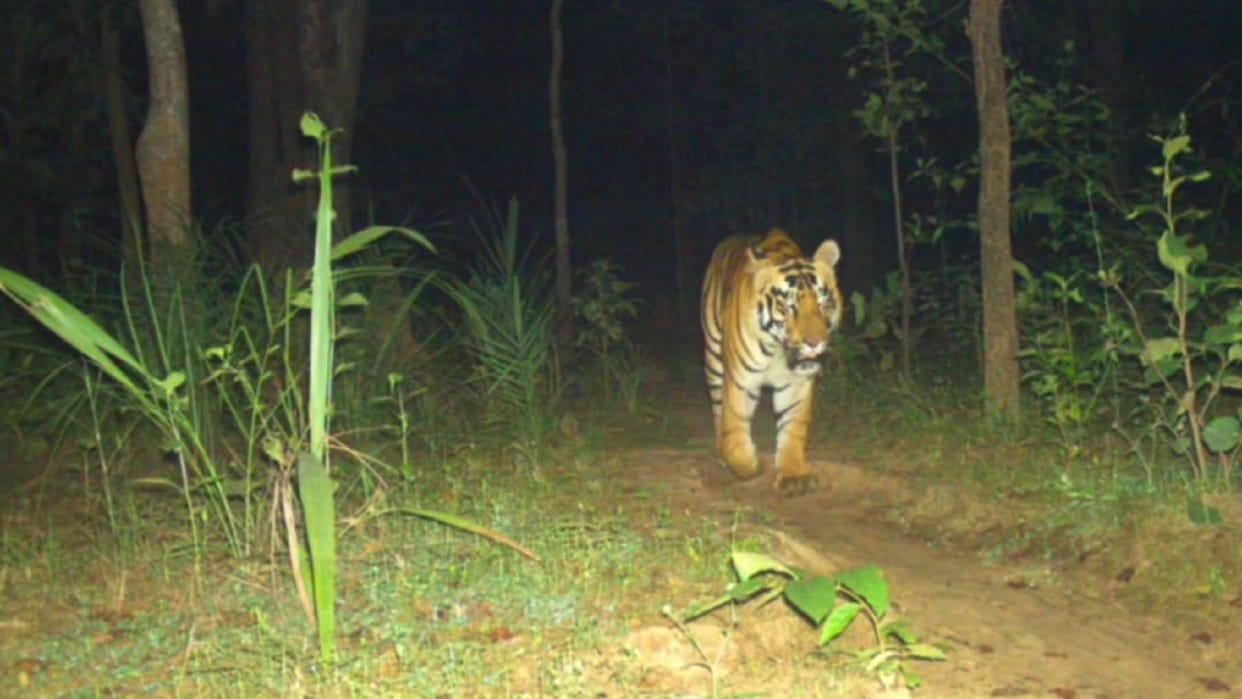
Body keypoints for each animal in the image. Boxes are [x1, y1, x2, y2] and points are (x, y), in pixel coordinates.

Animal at [700, 228, 842, 495]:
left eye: (823, 303)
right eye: (789, 307)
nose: (815, 342)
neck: (778, 351)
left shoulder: (796, 384)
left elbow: (793, 430)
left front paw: (794, 476)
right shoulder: (740, 382)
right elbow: (735, 432)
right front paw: (748, 466)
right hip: (714, 357)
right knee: (717, 411)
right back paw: (721, 452)